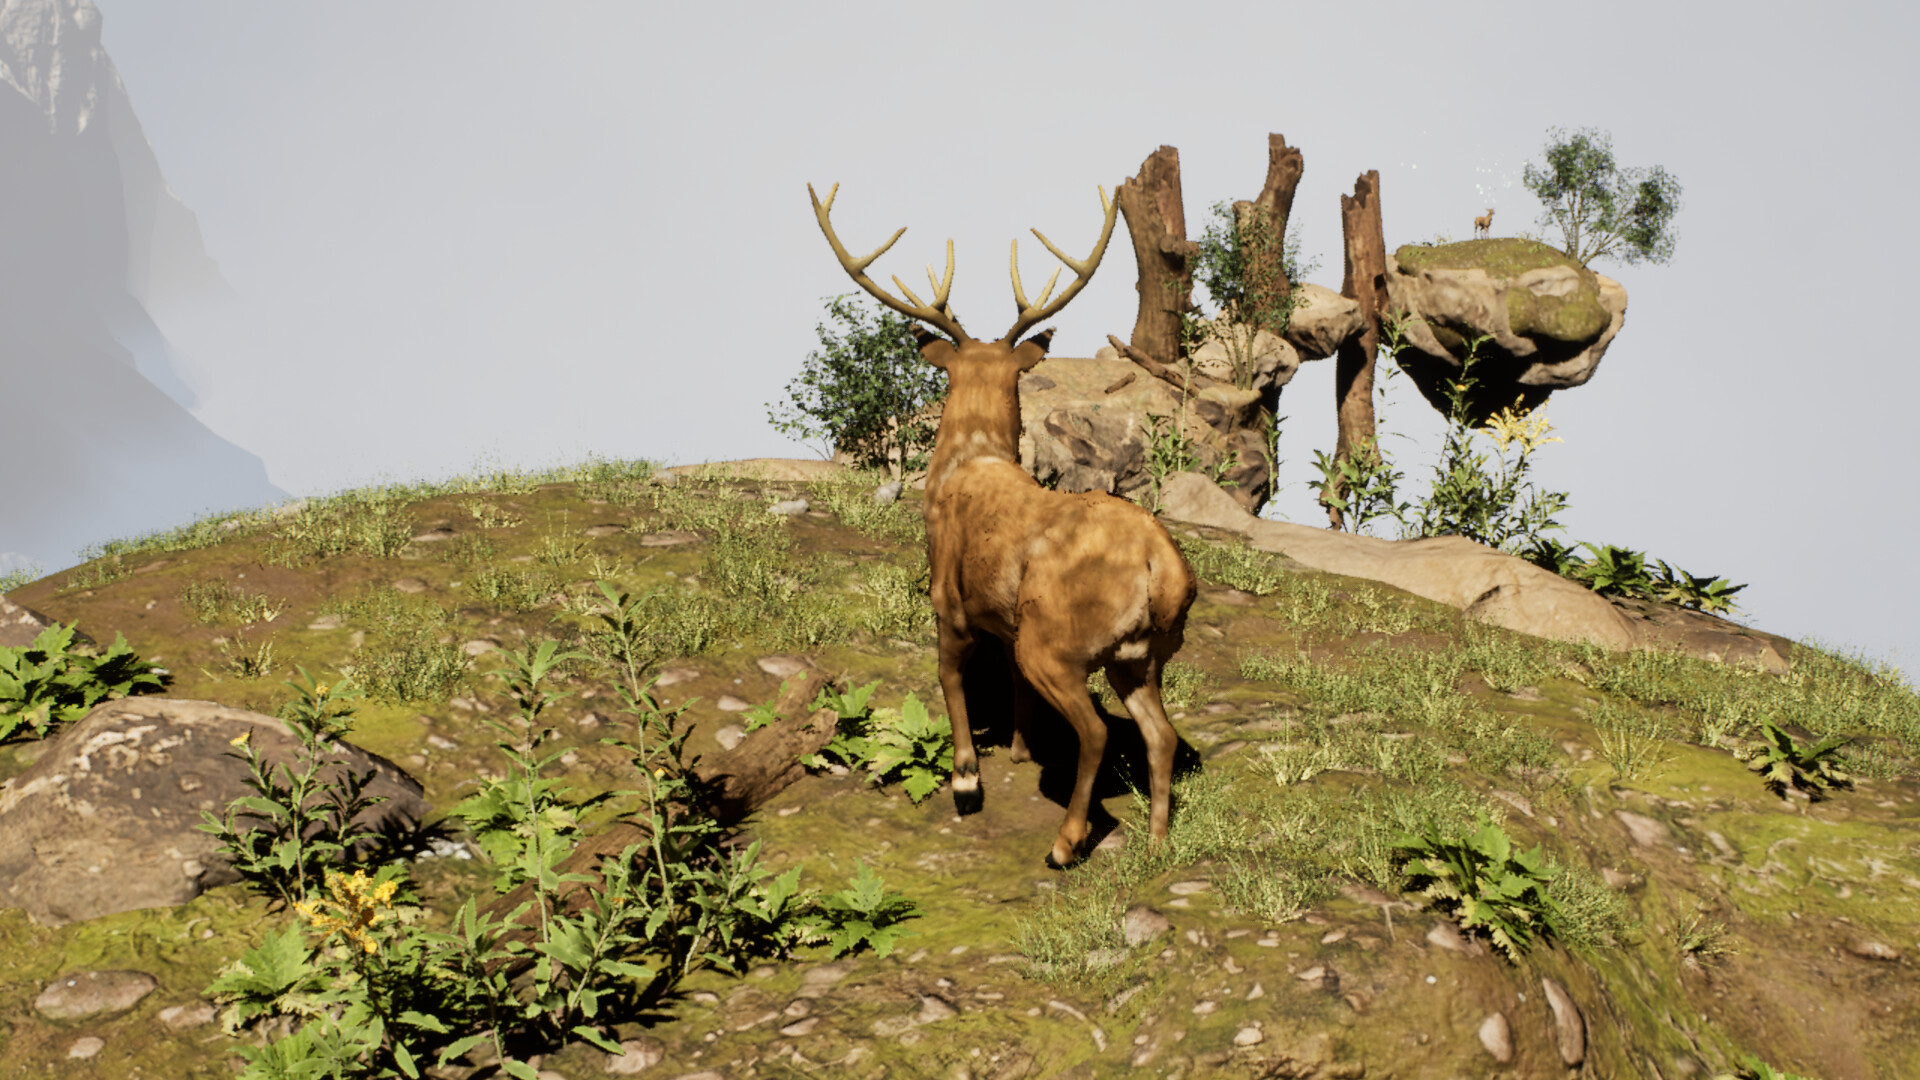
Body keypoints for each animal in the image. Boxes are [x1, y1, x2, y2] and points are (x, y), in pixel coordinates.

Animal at [809, 181, 1198, 869]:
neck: (970, 459)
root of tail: (1162, 568)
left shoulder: (948, 598)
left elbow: (948, 679)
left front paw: (967, 779)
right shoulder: (1004, 617)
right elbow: (1012, 685)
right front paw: (1016, 747)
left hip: (1057, 638)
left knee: (1096, 731)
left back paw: (1066, 844)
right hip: (1145, 654)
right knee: (1162, 735)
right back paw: (1155, 844)